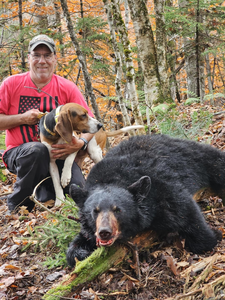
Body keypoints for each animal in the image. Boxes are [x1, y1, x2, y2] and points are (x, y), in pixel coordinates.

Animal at [67, 135, 223, 266]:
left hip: (195, 157)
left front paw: (212, 237)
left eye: (118, 210)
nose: (104, 232)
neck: (110, 178)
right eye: (95, 211)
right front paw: (81, 253)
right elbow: (78, 245)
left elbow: (184, 210)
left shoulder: (159, 189)